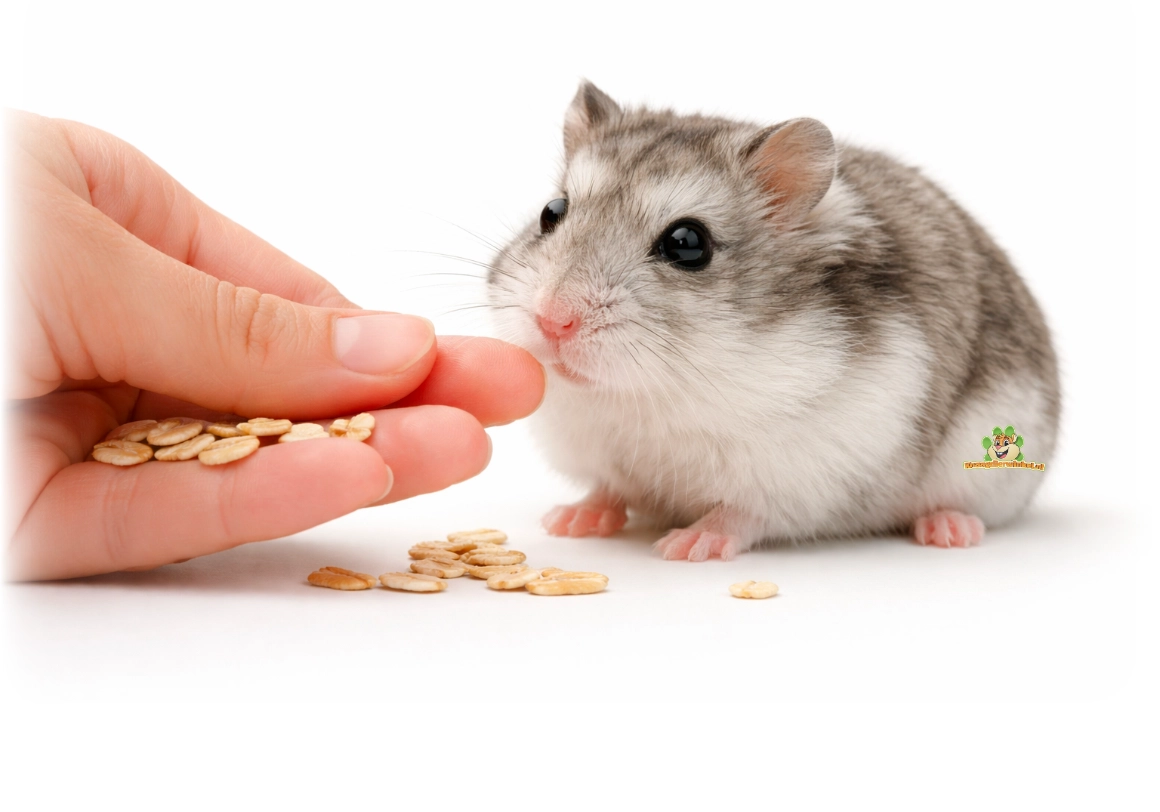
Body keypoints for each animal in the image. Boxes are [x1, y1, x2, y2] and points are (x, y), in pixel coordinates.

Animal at [487, 81, 1060, 560]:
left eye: (687, 244)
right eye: (551, 212)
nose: (552, 321)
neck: (647, 393)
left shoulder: (806, 474)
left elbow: (742, 513)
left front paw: (686, 546)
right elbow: (606, 487)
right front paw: (565, 522)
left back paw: (949, 531)